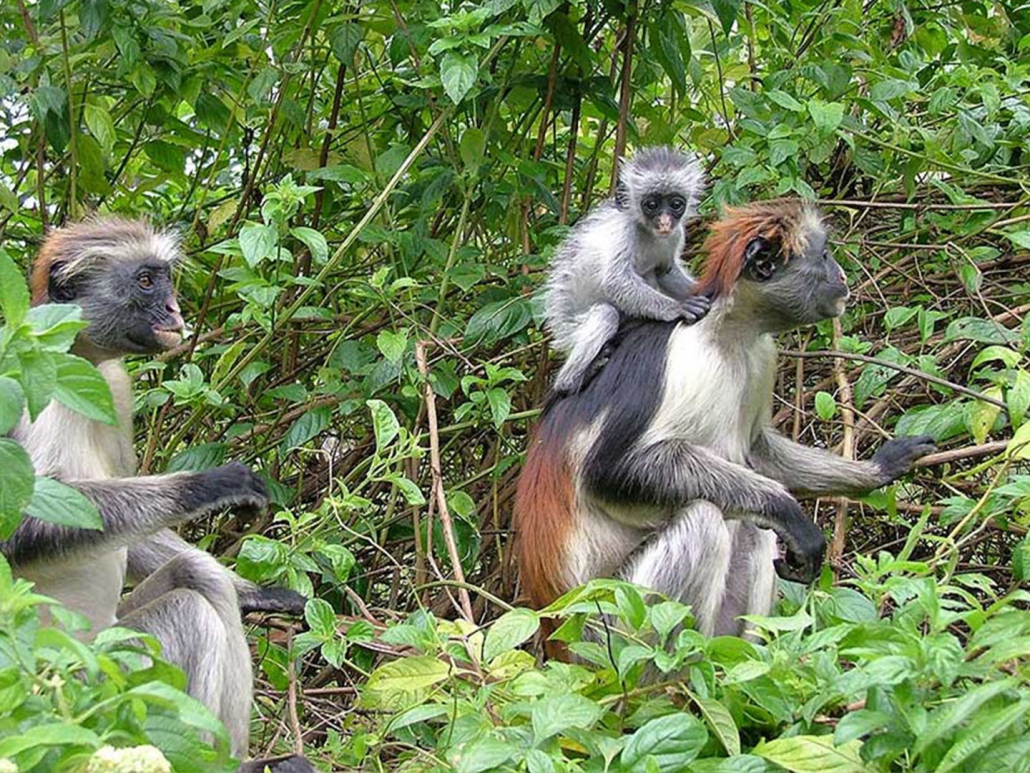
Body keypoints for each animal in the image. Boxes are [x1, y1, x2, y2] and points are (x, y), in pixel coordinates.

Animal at [3, 218, 312, 773]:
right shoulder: (22, 376)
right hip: (93, 684)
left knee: (199, 576)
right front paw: (207, 485)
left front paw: (259, 593)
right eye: (146, 282)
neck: (74, 356)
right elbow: (21, 531)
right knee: (189, 611)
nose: (174, 309)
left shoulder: (113, 387)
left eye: (164, 280)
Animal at [516, 199, 936, 643]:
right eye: (824, 256)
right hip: (611, 619)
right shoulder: (681, 352)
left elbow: (758, 450)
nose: (841, 277)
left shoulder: (761, 355)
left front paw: (880, 467)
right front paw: (789, 510)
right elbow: (608, 470)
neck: (727, 332)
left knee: (751, 525)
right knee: (704, 518)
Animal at [542, 146, 711, 395]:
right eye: (651, 204)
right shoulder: (624, 230)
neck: (648, 233)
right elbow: (616, 282)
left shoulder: (675, 234)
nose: (664, 222)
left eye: (675, 204)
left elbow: (665, 271)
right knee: (605, 314)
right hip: (572, 328)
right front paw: (677, 308)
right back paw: (571, 380)